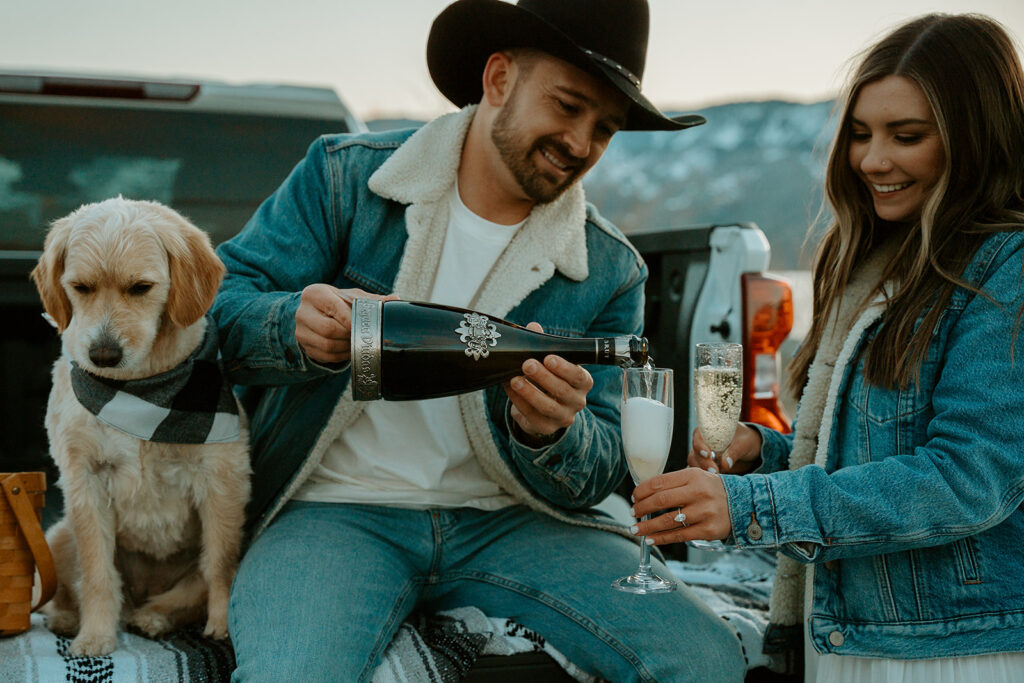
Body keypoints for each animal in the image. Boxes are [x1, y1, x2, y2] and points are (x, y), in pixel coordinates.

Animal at [30, 196, 251, 655]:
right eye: (81, 288)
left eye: (141, 288)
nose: (103, 355)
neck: (138, 393)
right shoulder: (85, 481)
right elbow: (97, 573)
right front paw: (95, 635)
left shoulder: (222, 479)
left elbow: (220, 563)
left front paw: (222, 623)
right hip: (58, 537)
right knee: (72, 588)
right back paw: (69, 618)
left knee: (182, 595)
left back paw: (154, 617)